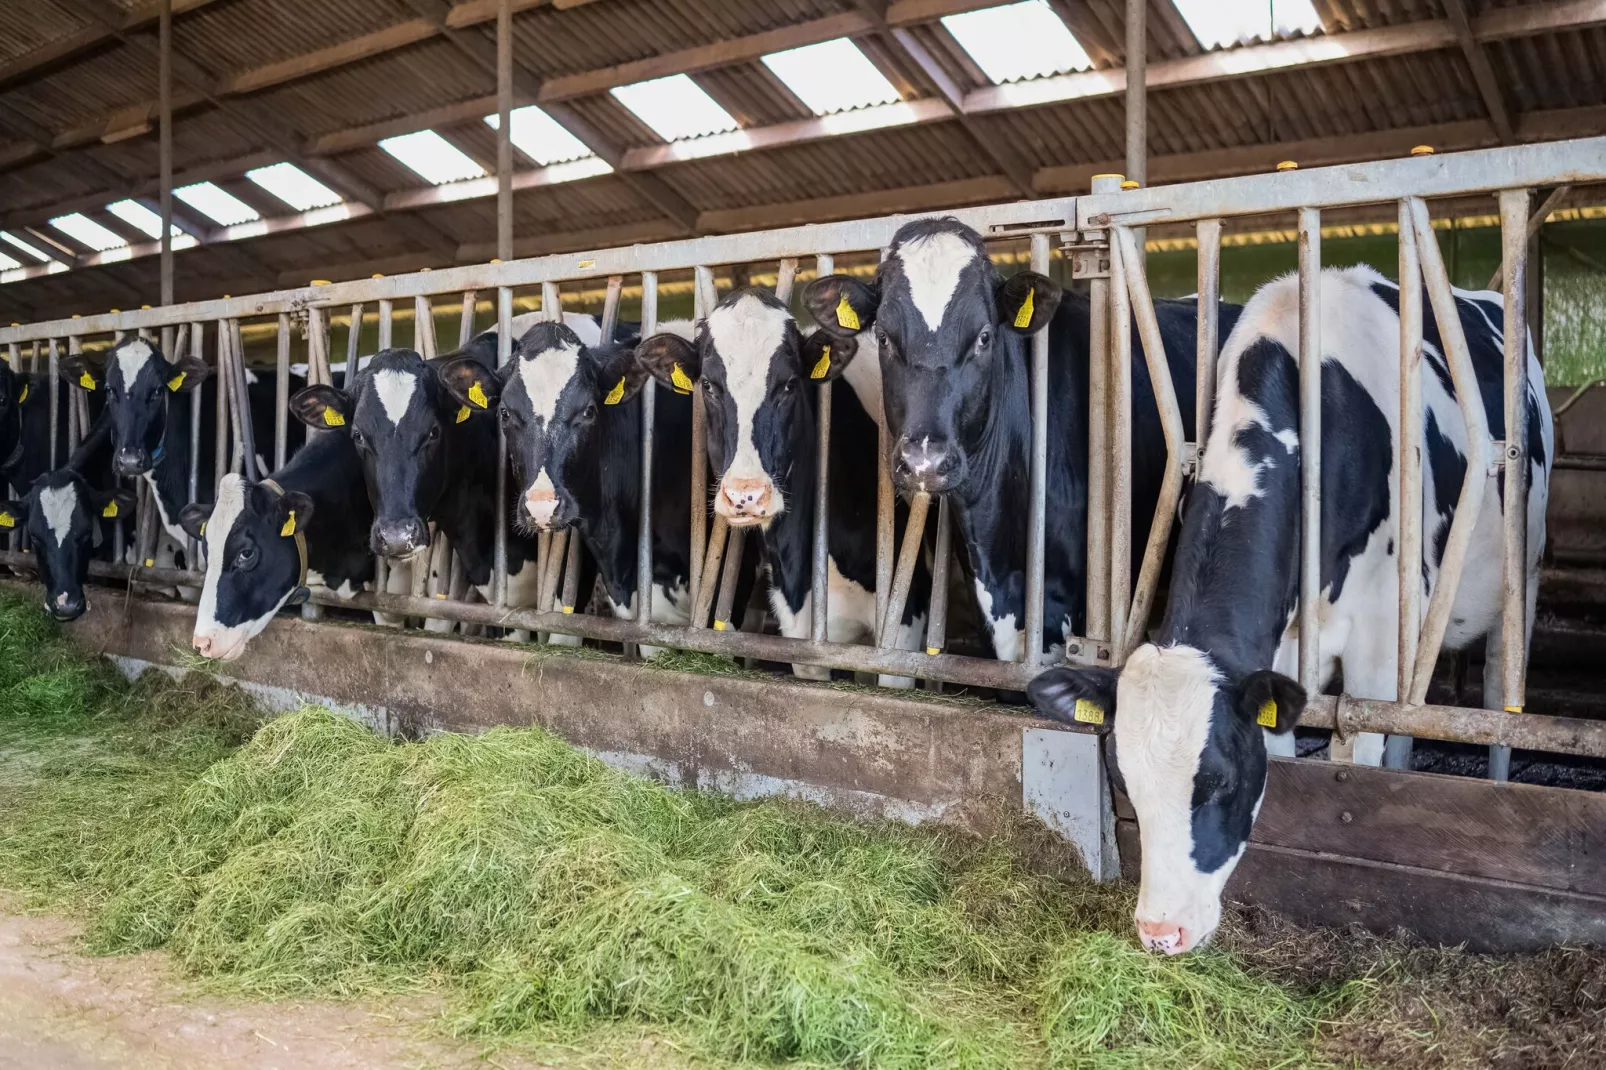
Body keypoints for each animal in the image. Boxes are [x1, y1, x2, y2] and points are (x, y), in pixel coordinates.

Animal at [1027, 265, 1554, 951]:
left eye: (1219, 781)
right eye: (1124, 783)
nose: (1161, 931)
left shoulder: (1378, 639)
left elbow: (1360, 755)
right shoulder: (1276, 650)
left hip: (1523, 576)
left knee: (1495, 698)